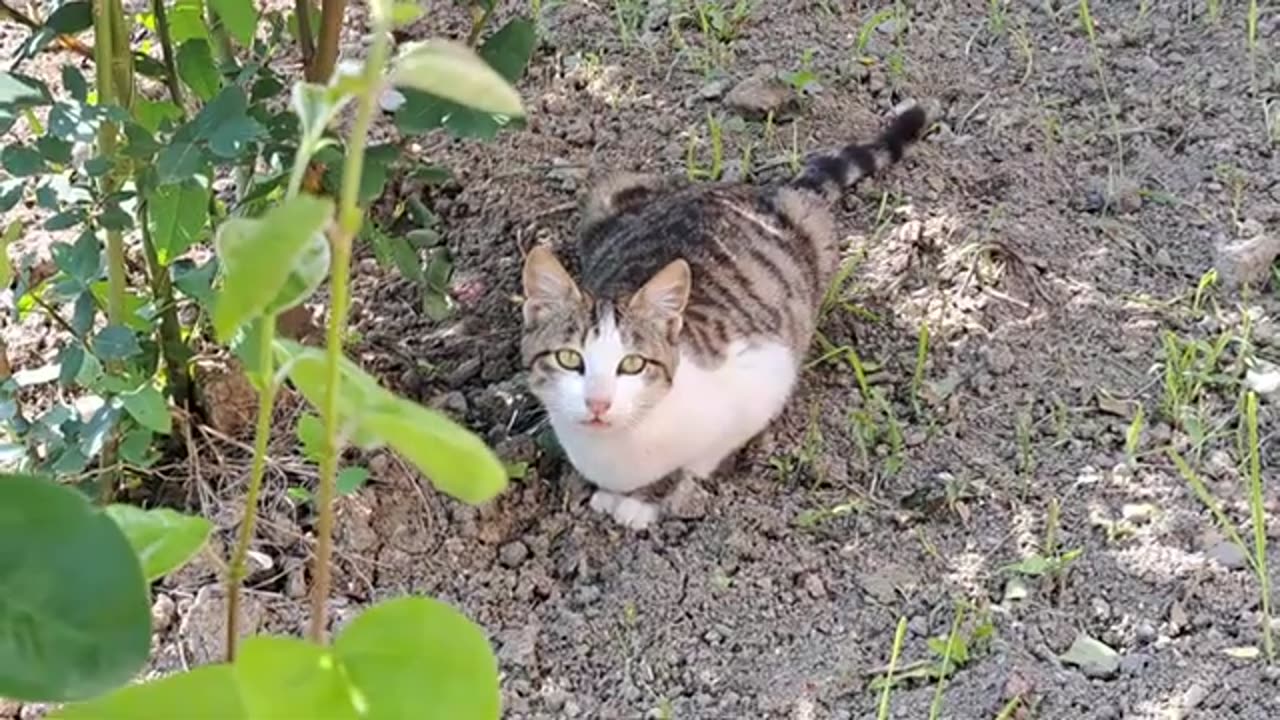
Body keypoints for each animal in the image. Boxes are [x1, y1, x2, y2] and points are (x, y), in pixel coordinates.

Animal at [519, 99, 931, 527]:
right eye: (570, 359)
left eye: (632, 364)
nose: (598, 403)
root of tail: (768, 191)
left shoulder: (763, 375)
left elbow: (697, 462)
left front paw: (644, 501)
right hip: (611, 189)